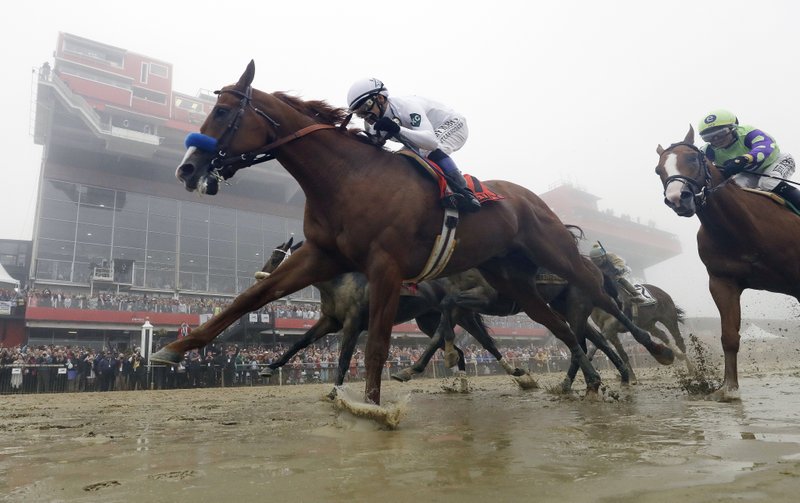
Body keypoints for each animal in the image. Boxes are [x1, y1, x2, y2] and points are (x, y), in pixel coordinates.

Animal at [152, 61, 676, 406]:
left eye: (222, 114)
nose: (186, 168)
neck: (347, 177)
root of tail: (534, 199)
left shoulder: (384, 267)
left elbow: (377, 345)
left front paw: (370, 405)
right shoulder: (322, 255)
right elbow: (250, 300)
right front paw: (171, 350)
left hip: (556, 253)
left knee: (598, 294)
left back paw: (654, 348)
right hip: (513, 279)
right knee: (561, 326)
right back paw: (587, 380)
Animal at [656, 127, 800, 402]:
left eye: (692, 158)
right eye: (659, 170)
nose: (678, 198)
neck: (742, 229)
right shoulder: (722, 282)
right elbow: (729, 337)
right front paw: (728, 388)